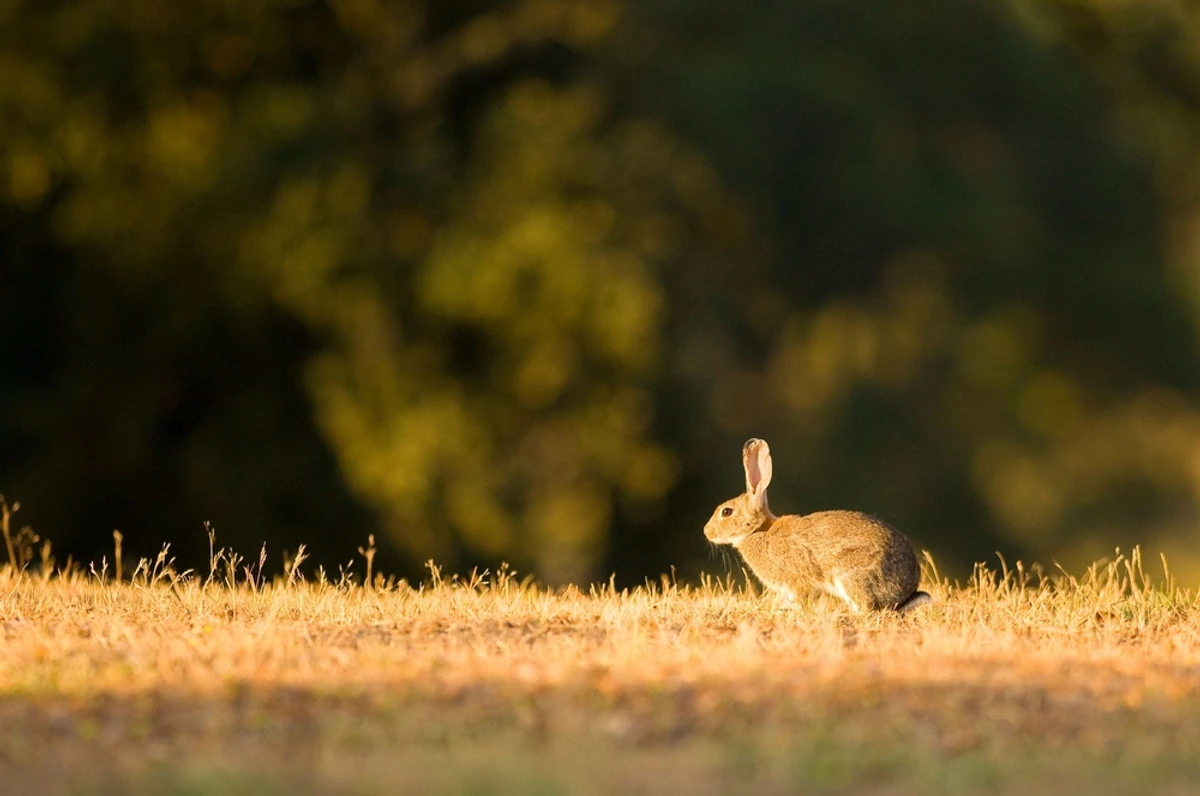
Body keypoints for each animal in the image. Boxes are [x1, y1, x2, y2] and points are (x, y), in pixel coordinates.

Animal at [705, 439, 931, 612]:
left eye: (726, 512)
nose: (706, 532)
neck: (759, 531)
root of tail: (905, 593)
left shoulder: (797, 581)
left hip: (850, 575)